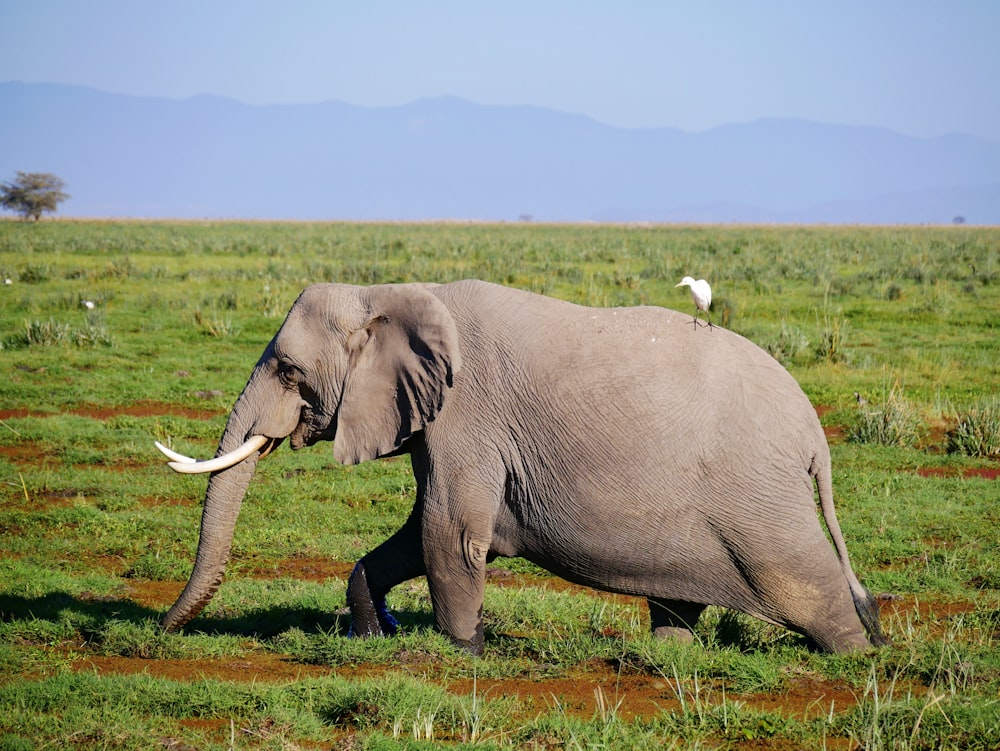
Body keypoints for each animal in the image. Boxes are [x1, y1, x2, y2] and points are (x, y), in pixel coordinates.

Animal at [152, 280, 888, 656]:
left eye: (287, 371)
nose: (157, 632)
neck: (391, 290)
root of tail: (816, 437)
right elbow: (414, 536)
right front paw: (371, 635)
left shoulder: (466, 414)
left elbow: (449, 535)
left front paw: (462, 654)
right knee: (682, 602)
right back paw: (665, 657)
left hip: (758, 499)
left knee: (806, 583)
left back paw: (861, 661)